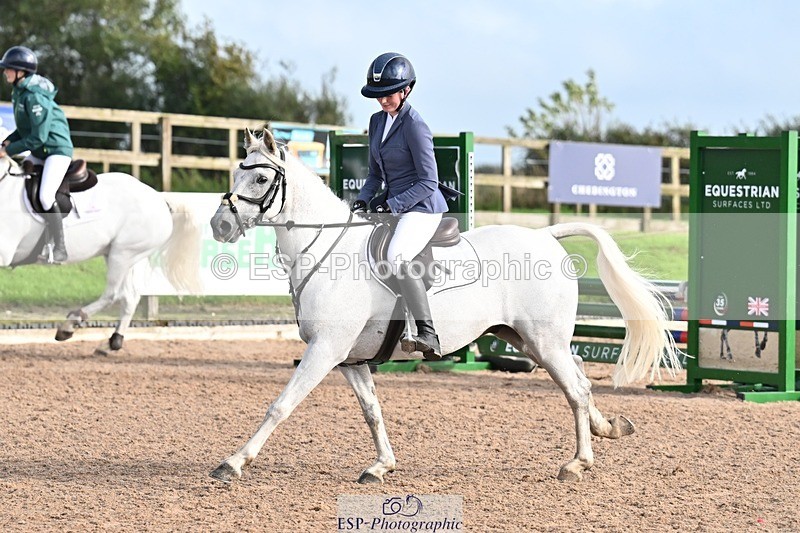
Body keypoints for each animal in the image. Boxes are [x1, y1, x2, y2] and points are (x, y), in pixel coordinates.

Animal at [0, 156, 202, 354]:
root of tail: (159, 198)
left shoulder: (4, 255)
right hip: (120, 255)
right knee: (129, 297)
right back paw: (112, 343)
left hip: (123, 254)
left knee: (113, 294)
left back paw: (71, 324)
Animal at [208, 128, 681, 484]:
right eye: (235, 173)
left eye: (260, 180)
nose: (220, 225)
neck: (325, 248)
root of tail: (546, 235)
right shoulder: (350, 358)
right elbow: (372, 412)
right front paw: (381, 466)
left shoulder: (325, 349)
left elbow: (281, 405)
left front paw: (233, 462)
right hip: (526, 339)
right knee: (578, 377)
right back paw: (608, 429)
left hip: (544, 340)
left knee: (577, 389)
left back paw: (577, 464)